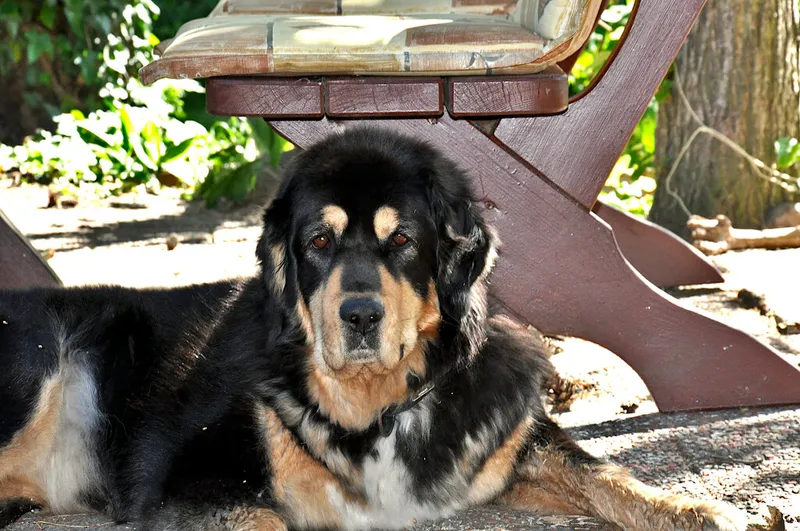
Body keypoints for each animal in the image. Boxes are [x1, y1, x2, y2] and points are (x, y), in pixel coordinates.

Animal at [1, 129, 752, 530]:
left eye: (403, 241)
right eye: (319, 242)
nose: (359, 314)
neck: (380, 403)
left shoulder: (509, 447)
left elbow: (609, 473)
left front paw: (698, 510)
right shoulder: (179, 479)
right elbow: (260, 514)